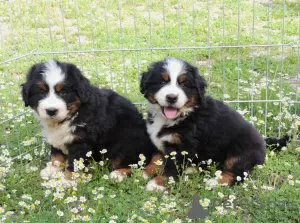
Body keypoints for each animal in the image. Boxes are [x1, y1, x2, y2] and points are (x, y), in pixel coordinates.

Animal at [21, 58, 161, 186]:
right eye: (41, 92)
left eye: (63, 92)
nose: (51, 110)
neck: (73, 114)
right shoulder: (57, 137)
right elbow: (56, 154)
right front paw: (52, 169)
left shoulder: (82, 142)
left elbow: (73, 163)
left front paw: (67, 181)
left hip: (125, 144)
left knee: (135, 164)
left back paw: (118, 174)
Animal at [139, 57, 290, 192]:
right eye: (162, 81)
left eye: (184, 84)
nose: (171, 97)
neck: (182, 115)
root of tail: (263, 141)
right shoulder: (162, 143)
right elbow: (156, 160)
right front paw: (143, 174)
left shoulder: (181, 148)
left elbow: (170, 169)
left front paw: (158, 184)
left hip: (240, 154)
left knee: (237, 175)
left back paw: (214, 181)